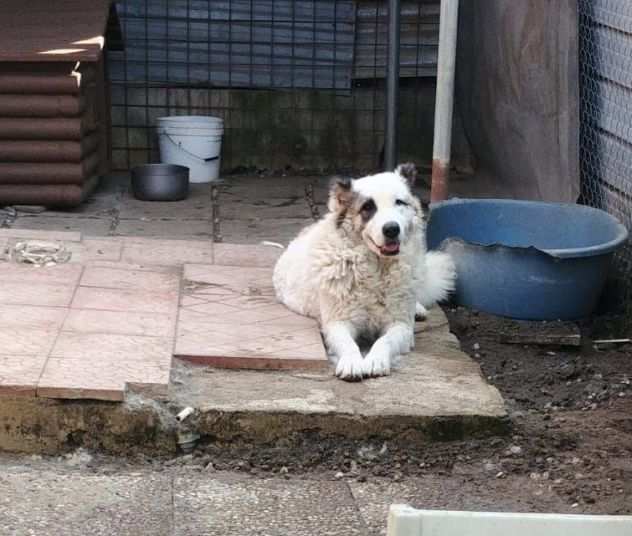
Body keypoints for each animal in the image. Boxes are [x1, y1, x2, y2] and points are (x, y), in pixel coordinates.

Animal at [272, 165, 454, 378]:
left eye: (399, 202)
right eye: (368, 207)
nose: (391, 229)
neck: (376, 269)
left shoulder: (401, 326)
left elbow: (385, 340)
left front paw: (376, 360)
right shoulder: (337, 323)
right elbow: (348, 343)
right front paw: (352, 362)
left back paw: (418, 309)